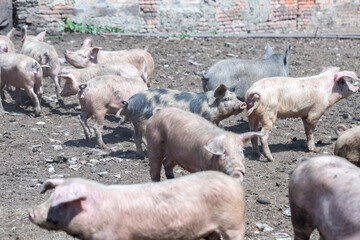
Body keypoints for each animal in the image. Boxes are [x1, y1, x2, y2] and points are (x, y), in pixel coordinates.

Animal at [118, 85, 248, 158]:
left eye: (236, 97)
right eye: (226, 99)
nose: (242, 103)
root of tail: (129, 103)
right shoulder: (207, 118)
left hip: (136, 122)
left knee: (136, 137)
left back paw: (141, 156)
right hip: (144, 121)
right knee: (143, 137)